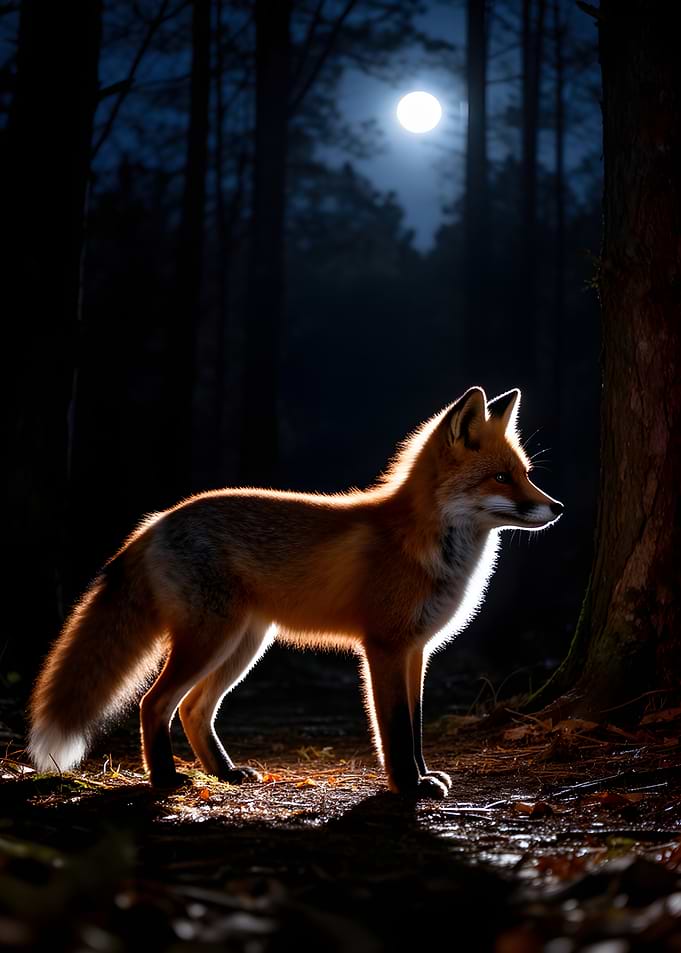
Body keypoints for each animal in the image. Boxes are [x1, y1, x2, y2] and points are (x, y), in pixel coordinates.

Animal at [29, 386, 563, 799]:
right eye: (501, 477)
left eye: (526, 474)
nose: (557, 507)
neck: (424, 546)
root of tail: (154, 522)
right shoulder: (385, 647)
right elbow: (393, 729)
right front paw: (407, 788)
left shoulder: (417, 651)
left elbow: (414, 728)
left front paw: (423, 776)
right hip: (212, 639)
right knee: (154, 704)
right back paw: (165, 780)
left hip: (246, 643)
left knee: (193, 709)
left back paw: (225, 773)